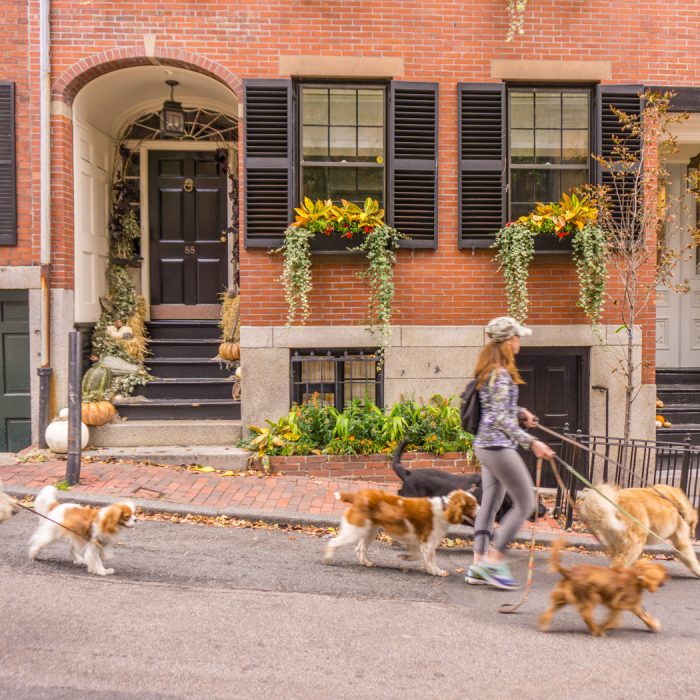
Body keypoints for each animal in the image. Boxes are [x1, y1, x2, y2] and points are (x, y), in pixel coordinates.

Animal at [324, 490, 478, 576]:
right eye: (472, 505)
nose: (481, 510)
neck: (444, 508)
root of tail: (357, 496)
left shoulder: (417, 541)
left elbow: (417, 555)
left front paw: (406, 557)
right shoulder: (428, 543)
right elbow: (432, 559)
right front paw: (437, 571)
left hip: (370, 530)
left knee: (359, 548)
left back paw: (366, 562)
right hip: (355, 530)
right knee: (334, 542)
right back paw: (327, 558)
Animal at [540, 540, 668, 636]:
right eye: (662, 573)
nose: (668, 577)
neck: (637, 577)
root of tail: (569, 572)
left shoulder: (632, 605)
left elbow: (643, 616)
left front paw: (653, 625)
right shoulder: (619, 604)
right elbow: (612, 618)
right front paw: (607, 626)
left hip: (564, 597)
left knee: (551, 609)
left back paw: (544, 624)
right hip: (591, 597)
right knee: (586, 614)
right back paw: (596, 630)